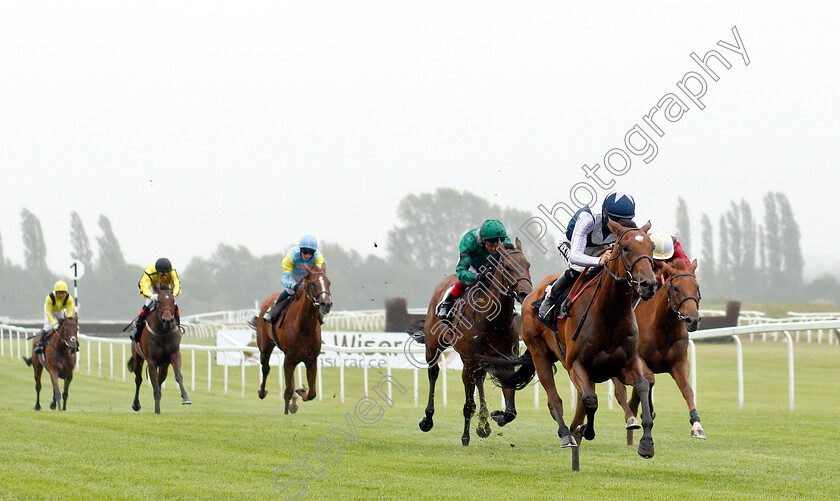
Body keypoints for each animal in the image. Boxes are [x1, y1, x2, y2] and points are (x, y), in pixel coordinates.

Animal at [126, 284, 190, 412]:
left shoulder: (174, 355)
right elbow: (153, 384)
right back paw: (136, 404)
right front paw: (157, 411)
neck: (163, 332)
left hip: (164, 365)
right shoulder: (152, 361)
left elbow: (178, 376)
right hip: (138, 357)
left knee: (160, 381)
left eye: (173, 301)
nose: (167, 320)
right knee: (138, 379)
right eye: (159, 301)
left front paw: (185, 397)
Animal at [249, 264, 332, 412]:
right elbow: (288, 390)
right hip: (265, 346)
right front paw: (289, 408)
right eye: (313, 283)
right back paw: (262, 392)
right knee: (265, 367)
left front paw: (301, 392)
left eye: (329, 283)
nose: (326, 304)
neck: (304, 327)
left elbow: (312, 393)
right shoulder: (289, 358)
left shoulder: (311, 359)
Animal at [416, 238, 532, 446]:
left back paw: (484, 424)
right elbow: (469, 404)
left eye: (528, 265)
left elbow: (511, 410)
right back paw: (427, 419)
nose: (526, 293)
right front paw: (465, 437)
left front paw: (496, 416)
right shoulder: (468, 361)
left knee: (480, 379)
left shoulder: (506, 360)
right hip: (433, 346)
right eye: (508, 267)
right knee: (433, 373)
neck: (493, 321)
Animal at [482, 220, 660, 464]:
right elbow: (590, 400)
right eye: (625, 247)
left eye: (652, 247)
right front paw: (586, 430)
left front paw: (646, 443)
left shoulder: (625, 364)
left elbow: (642, 385)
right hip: (539, 353)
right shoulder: (576, 364)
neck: (609, 314)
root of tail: (531, 295)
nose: (648, 284)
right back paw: (567, 434)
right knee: (555, 399)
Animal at [612, 260, 704, 440]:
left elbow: (687, 390)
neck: (663, 327)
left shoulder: (679, 363)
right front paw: (647, 411)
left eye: (696, 286)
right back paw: (630, 417)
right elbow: (650, 380)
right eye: (676, 288)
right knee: (620, 393)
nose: (693, 320)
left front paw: (696, 425)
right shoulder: (639, 360)